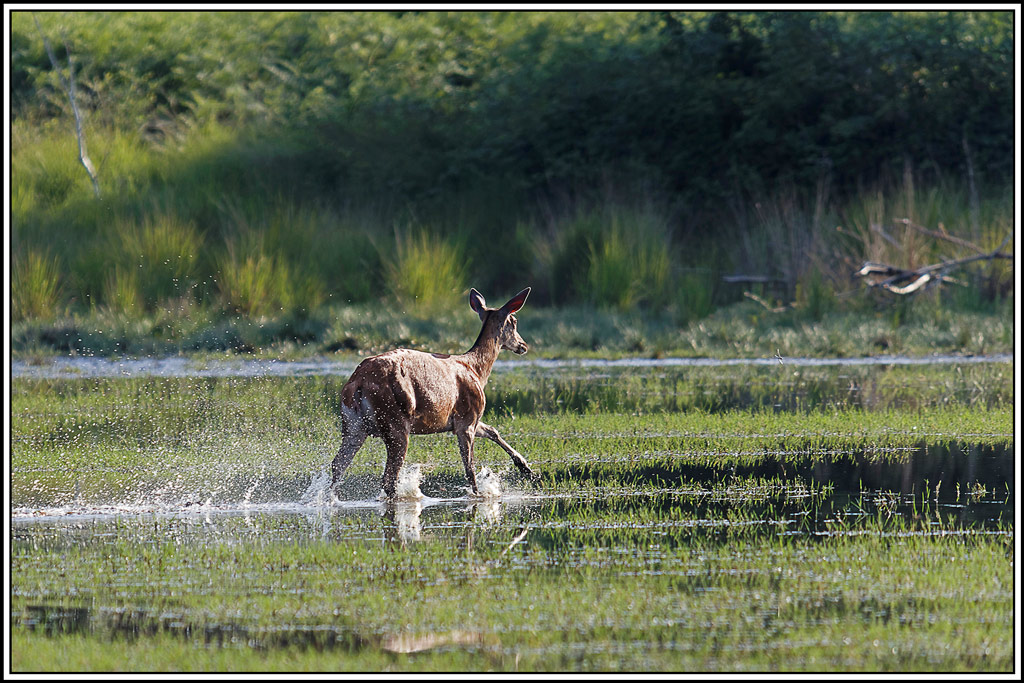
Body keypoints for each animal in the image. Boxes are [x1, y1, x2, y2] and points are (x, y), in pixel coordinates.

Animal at [331, 287, 536, 498]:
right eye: (514, 321)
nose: (523, 345)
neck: (477, 371)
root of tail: (357, 383)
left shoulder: (465, 421)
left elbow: (493, 431)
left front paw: (526, 469)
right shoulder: (467, 418)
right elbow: (470, 468)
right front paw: (478, 494)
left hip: (353, 425)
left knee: (337, 465)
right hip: (394, 420)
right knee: (388, 478)